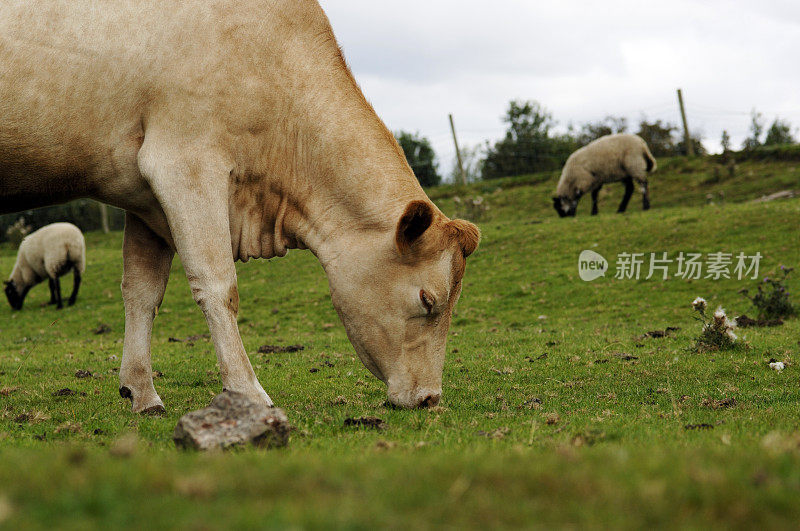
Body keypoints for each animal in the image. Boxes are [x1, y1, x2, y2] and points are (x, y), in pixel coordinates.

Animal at [0, 0, 478, 414]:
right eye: (428, 300)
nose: (430, 398)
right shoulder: (184, 164)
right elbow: (218, 285)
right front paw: (247, 392)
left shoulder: (143, 200)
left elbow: (141, 292)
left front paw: (142, 393)